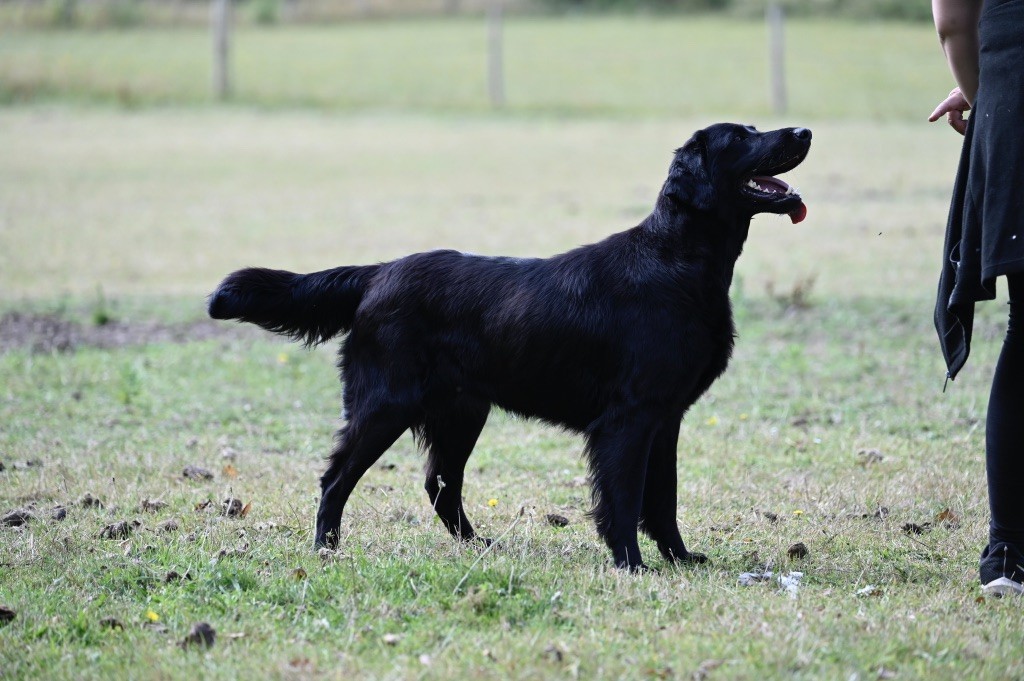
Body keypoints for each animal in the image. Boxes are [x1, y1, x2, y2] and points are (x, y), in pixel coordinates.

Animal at [209, 122, 806, 569]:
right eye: (741, 137)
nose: (804, 131)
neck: (676, 261)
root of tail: (380, 272)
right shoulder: (628, 418)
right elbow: (623, 499)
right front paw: (631, 564)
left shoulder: (666, 417)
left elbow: (664, 500)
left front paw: (681, 559)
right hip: (386, 404)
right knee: (337, 477)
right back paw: (327, 549)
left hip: (461, 411)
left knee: (439, 485)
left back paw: (479, 546)